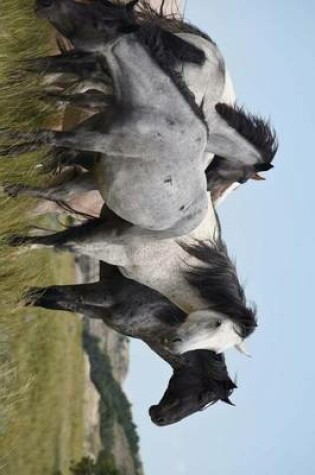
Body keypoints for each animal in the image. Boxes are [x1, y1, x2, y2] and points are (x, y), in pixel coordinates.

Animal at [26, 260, 237, 428]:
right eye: (202, 397)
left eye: (202, 407)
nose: (161, 420)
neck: (161, 312)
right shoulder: (100, 293)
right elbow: (48, 295)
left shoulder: (96, 310)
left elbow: (52, 300)